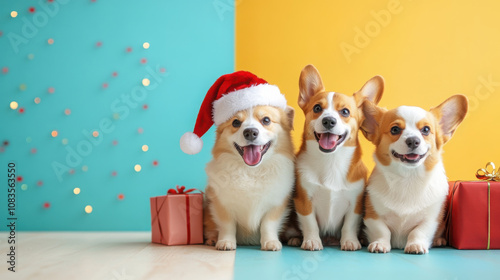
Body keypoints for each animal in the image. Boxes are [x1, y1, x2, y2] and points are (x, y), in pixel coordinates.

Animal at [204, 105, 296, 252]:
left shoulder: (276, 205)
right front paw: (225, 242)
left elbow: (268, 225)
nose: (250, 132)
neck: (251, 171)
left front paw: (270, 242)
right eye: (236, 122)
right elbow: (227, 225)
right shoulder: (222, 205)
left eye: (266, 120)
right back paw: (212, 240)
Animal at [292, 65, 382, 252]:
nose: (328, 121)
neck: (331, 160)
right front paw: (312, 241)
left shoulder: (355, 204)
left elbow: (349, 224)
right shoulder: (304, 201)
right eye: (317, 108)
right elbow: (310, 223)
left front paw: (350, 241)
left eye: (345, 112)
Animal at [362, 94, 466, 254]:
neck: (408, 177)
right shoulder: (373, 216)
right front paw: (380, 244)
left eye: (426, 130)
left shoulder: (431, 219)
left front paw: (415, 245)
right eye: (395, 129)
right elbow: (382, 231)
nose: (413, 141)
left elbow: (418, 232)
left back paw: (439, 240)